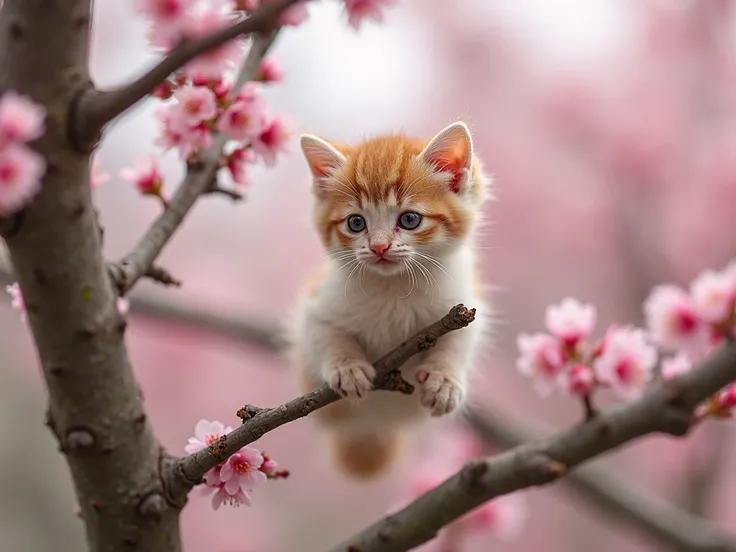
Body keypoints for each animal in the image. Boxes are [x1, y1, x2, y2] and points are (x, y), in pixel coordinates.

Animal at [286, 121, 488, 478]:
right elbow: (322, 331)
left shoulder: (463, 301)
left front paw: (445, 378)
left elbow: (462, 337)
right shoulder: (316, 303)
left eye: (409, 219)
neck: (395, 286)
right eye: (356, 223)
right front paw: (347, 366)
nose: (379, 247)